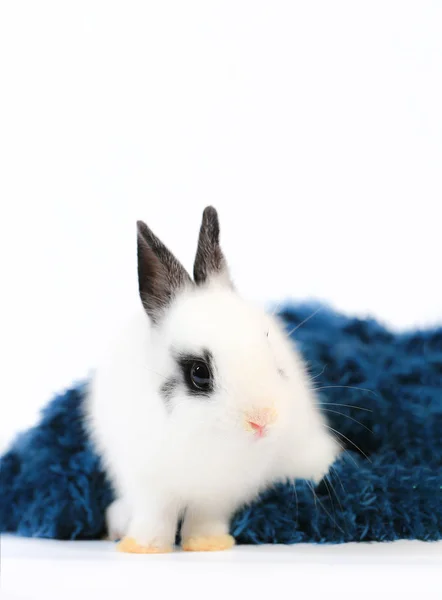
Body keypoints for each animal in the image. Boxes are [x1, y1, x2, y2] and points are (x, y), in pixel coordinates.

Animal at [87, 206, 342, 552]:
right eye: (199, 372)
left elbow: (206, 517)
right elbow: (154, 516)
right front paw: (143, 546)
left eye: (269, 349)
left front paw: (207, 544)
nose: (262, 420)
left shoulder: (221, 493)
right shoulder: (148, 483)